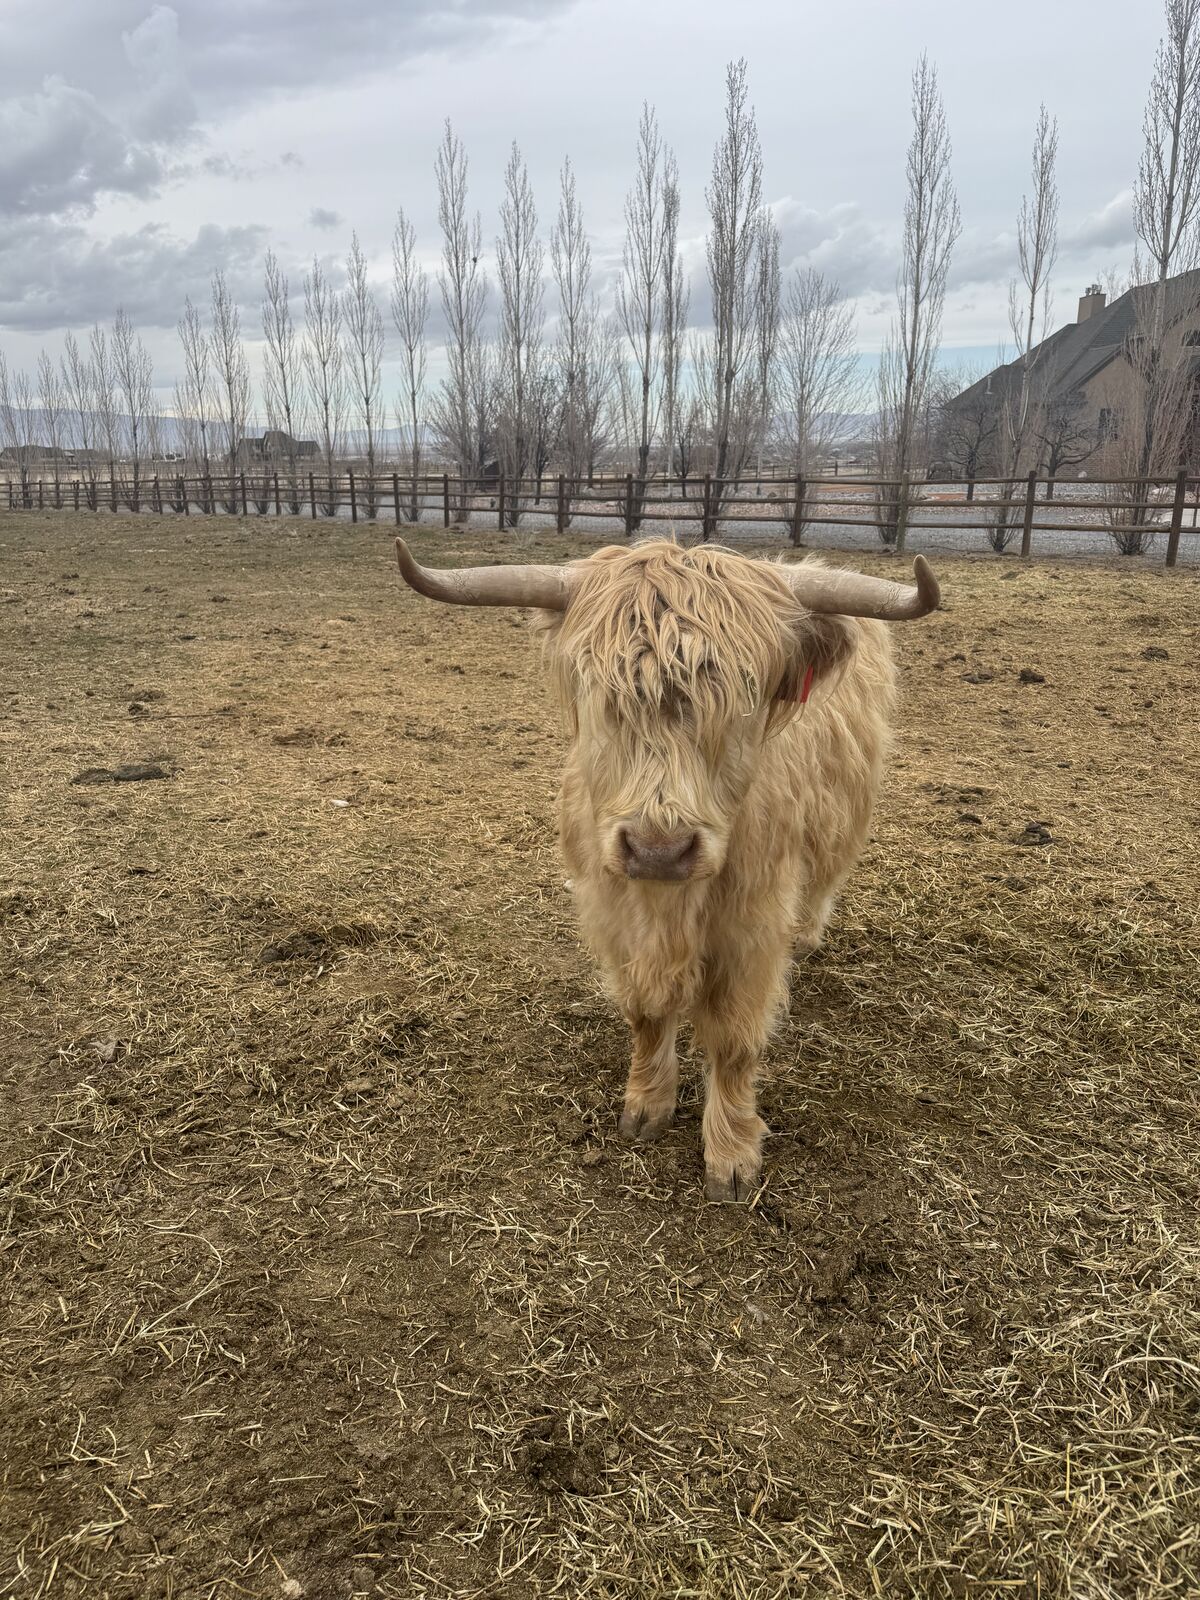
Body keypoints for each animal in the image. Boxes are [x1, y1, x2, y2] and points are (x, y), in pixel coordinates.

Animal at [394, 537, 940, 1200]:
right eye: (599, 691)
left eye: (747, 695)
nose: (659, 848)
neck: (668, 909)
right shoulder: (612, 911)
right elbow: (646, 1013)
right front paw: (646, 1104)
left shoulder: (752, 928)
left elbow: (733, 1039)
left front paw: (731, 1153)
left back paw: (809, 936)